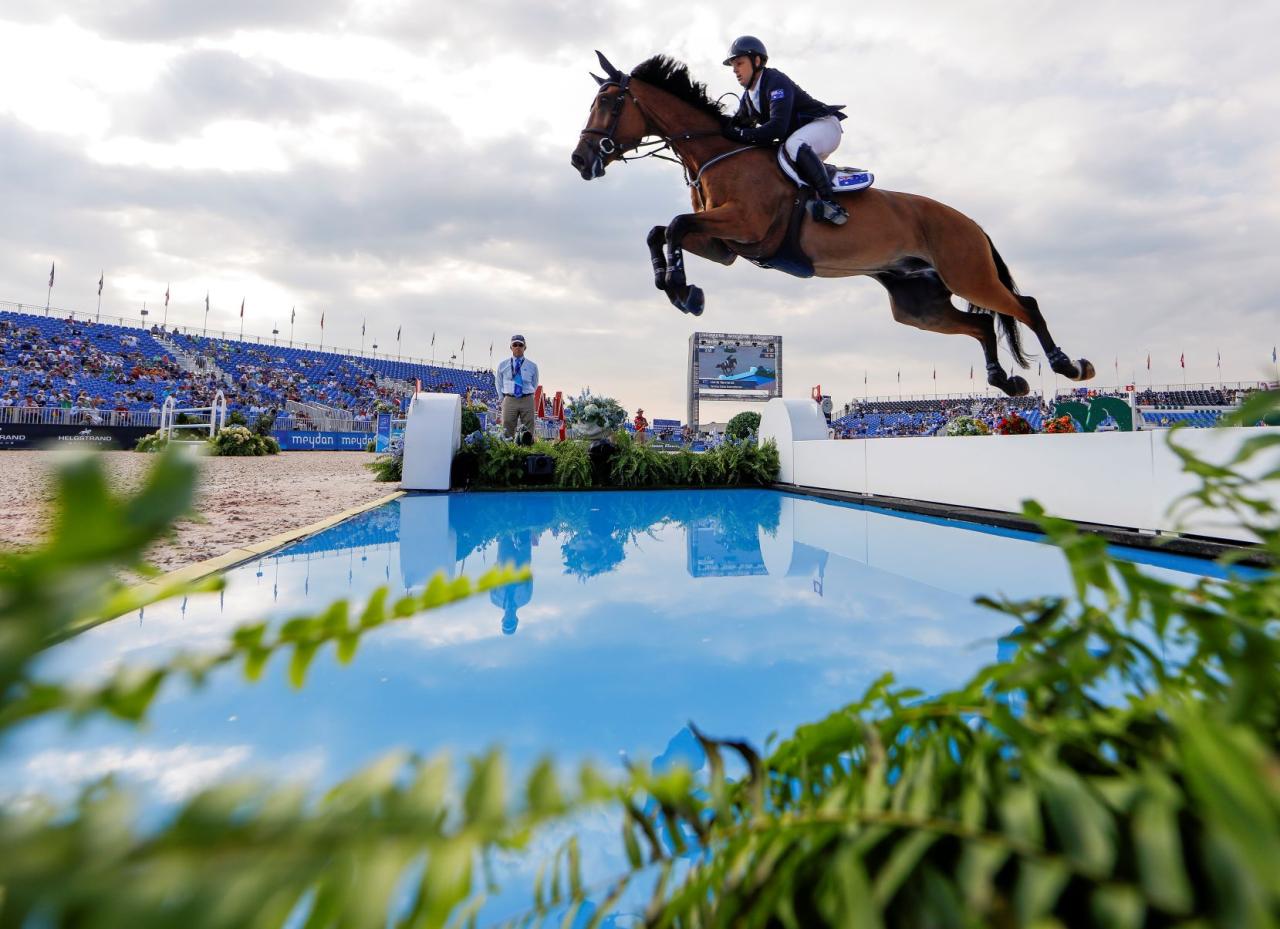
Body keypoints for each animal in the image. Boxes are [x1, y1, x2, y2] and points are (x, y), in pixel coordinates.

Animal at [573, 53, 1100, 396]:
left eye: (610, 103)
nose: (580, 161)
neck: (718, 153)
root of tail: (970, 222)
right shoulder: (724, 244)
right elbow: (662, 230)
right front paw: (678, 287)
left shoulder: (744, 225)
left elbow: (676, 224)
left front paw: (685, 292)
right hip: (918, 305)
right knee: (982, 324)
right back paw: (1005, 381)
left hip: (967, 272)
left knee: (1024, 307)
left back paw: (1069, 365)